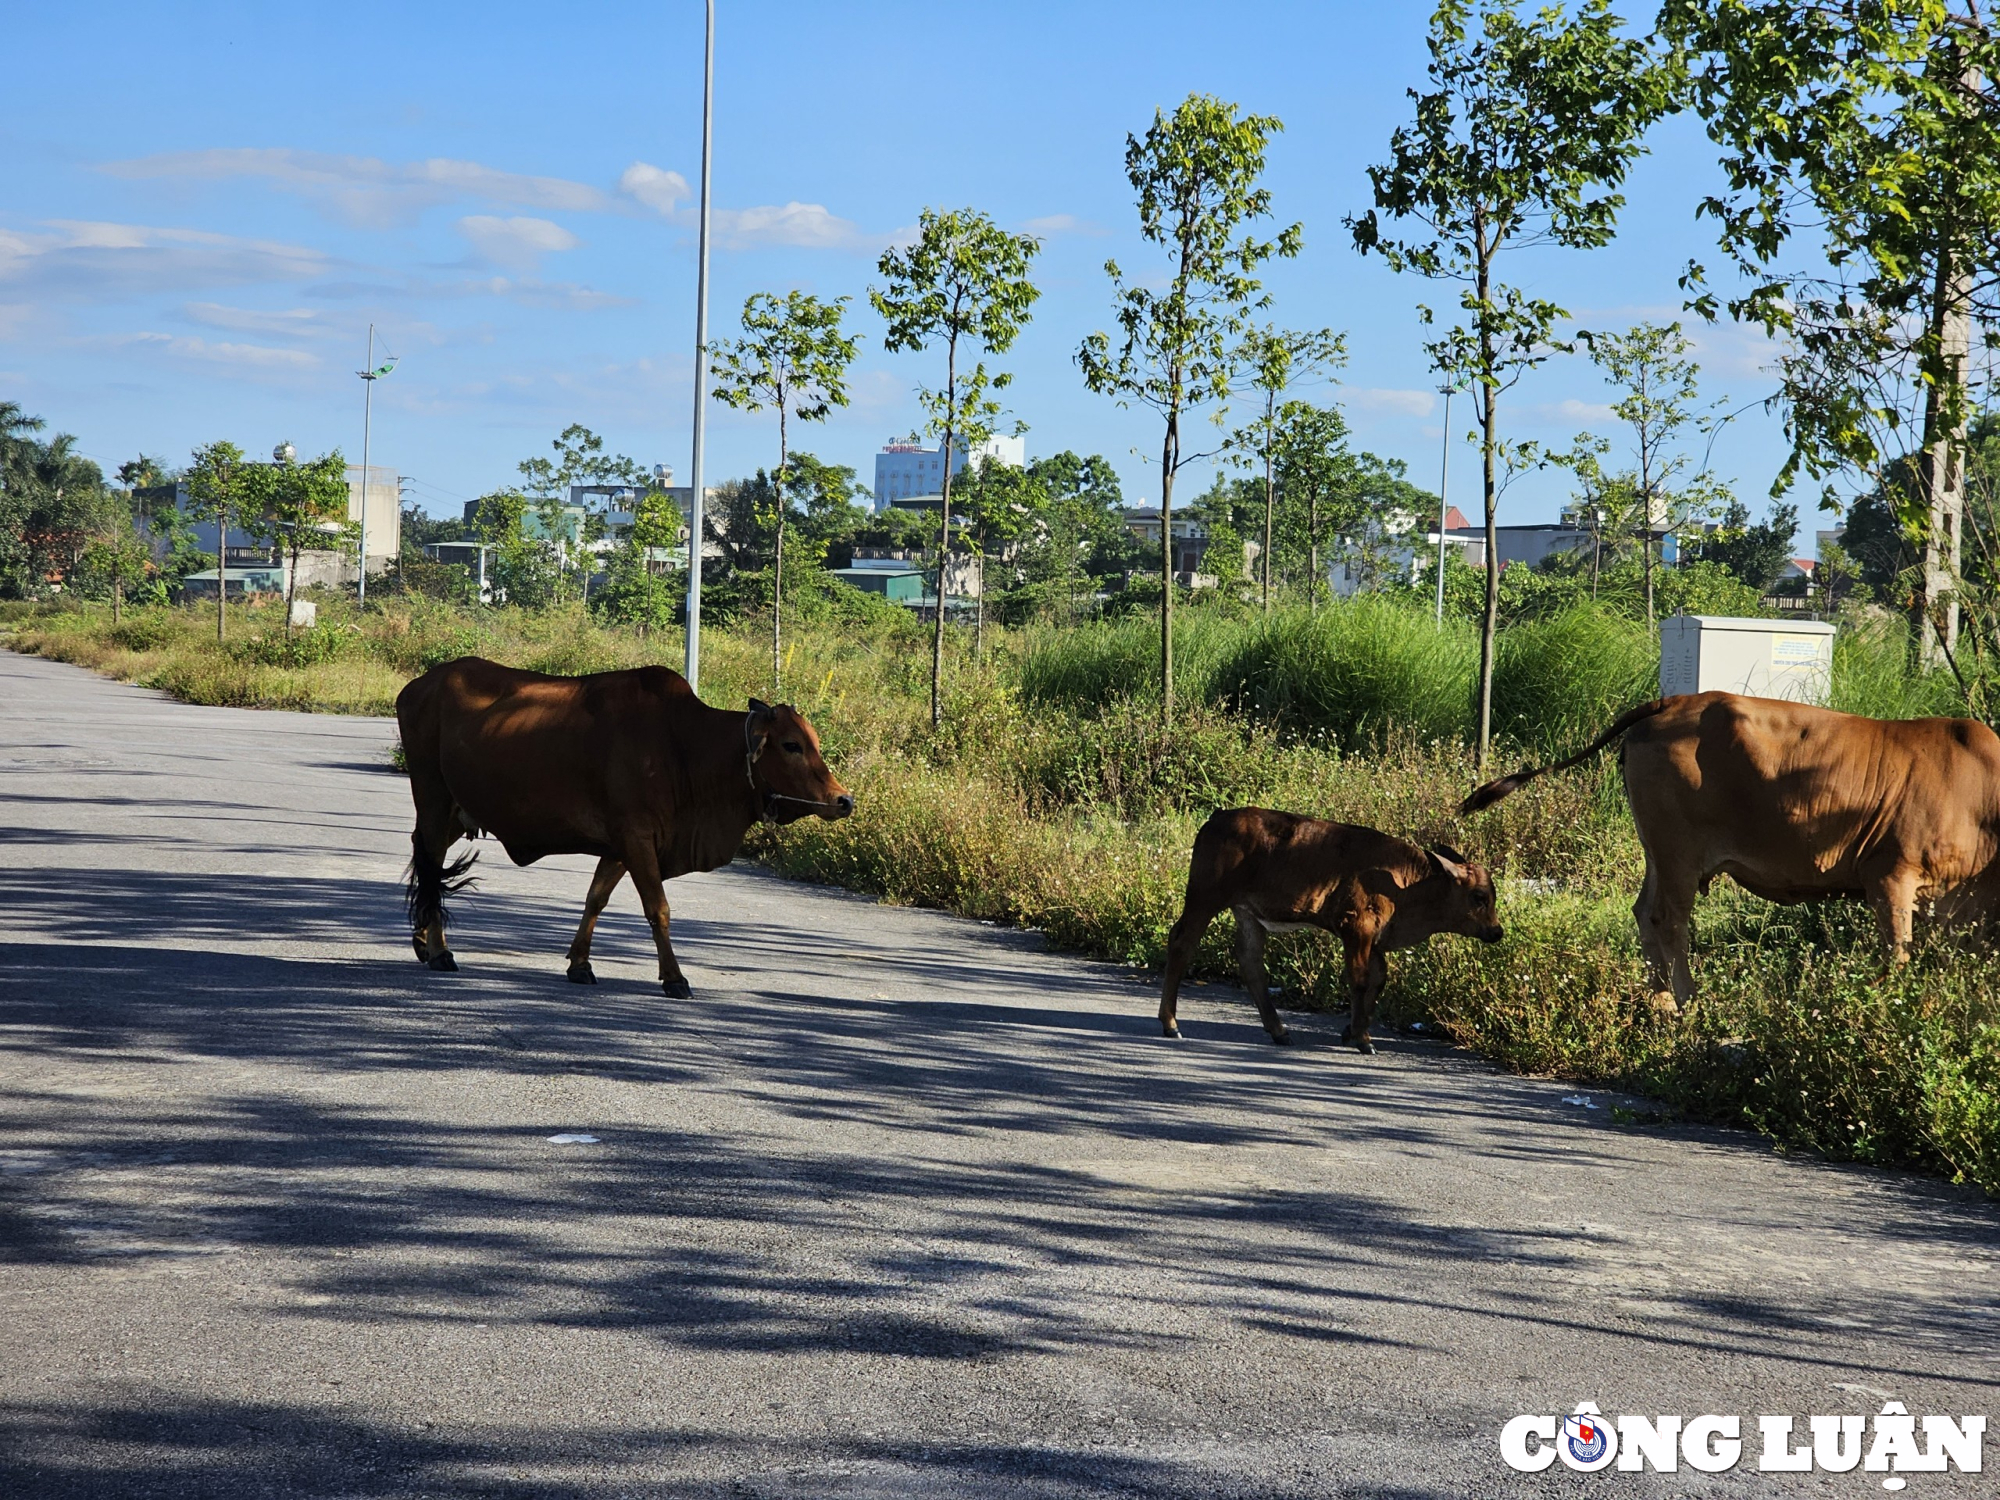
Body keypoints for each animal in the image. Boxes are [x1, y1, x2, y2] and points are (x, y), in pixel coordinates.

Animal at [396, 660, 852, 1000]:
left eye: (815, 741)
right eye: (791, 745)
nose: (842, 800)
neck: (685, 748)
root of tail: (418, 686)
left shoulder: (620, 846)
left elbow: (595, 899)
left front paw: (580, 964)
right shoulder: (637, 838)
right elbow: (658, 909)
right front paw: (674, 978)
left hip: (456, 812)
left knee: (428, 862)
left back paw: (422, 940)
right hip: (433, 797)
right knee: (431, 864)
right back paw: (439, 951)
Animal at [1160, 812, 1504, 1056]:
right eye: (1479, 897)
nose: (1497, 931)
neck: (1404, 882)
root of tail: (1217, 819)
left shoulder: (1372, 940)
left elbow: (1379, 979)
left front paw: (1352, 1032)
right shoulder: (1357, 930)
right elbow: (1361, 979)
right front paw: (1363, 1039)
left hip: (1246, 913)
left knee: (1250, 961)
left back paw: (1280, 1031)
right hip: (1205, 900)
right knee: (1182, 943)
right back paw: (1171, 1024)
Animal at [1456, 696, 2000, 1012]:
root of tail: (1672, 701)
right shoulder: (1890, 877)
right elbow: (1897, 954)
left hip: (1658, 850)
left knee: (1644, 912)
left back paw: (1659, 1003)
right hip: (1677, 851)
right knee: (1668, 919)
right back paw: (1686, 1002)